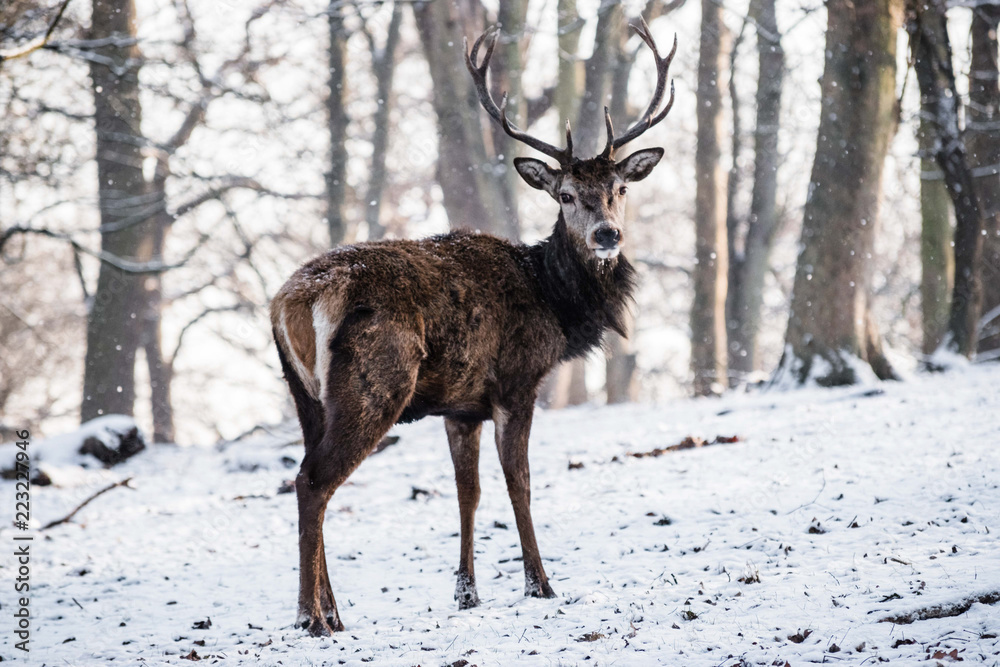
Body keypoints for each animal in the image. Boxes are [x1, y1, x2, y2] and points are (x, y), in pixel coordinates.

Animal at [269, 20, 676, 636]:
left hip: (304, 395)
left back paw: (335, 614)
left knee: (310, 475)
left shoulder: (461, 407)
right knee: (313, 481)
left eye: (621, 189)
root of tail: (293, 301)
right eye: (565, 195)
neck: (554, 303)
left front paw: (466, 592)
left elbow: (469, 492)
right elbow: (519, 483)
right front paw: (540, 584)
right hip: (374, 382)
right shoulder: (516, 383)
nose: (607, 234)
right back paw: (310, 617)